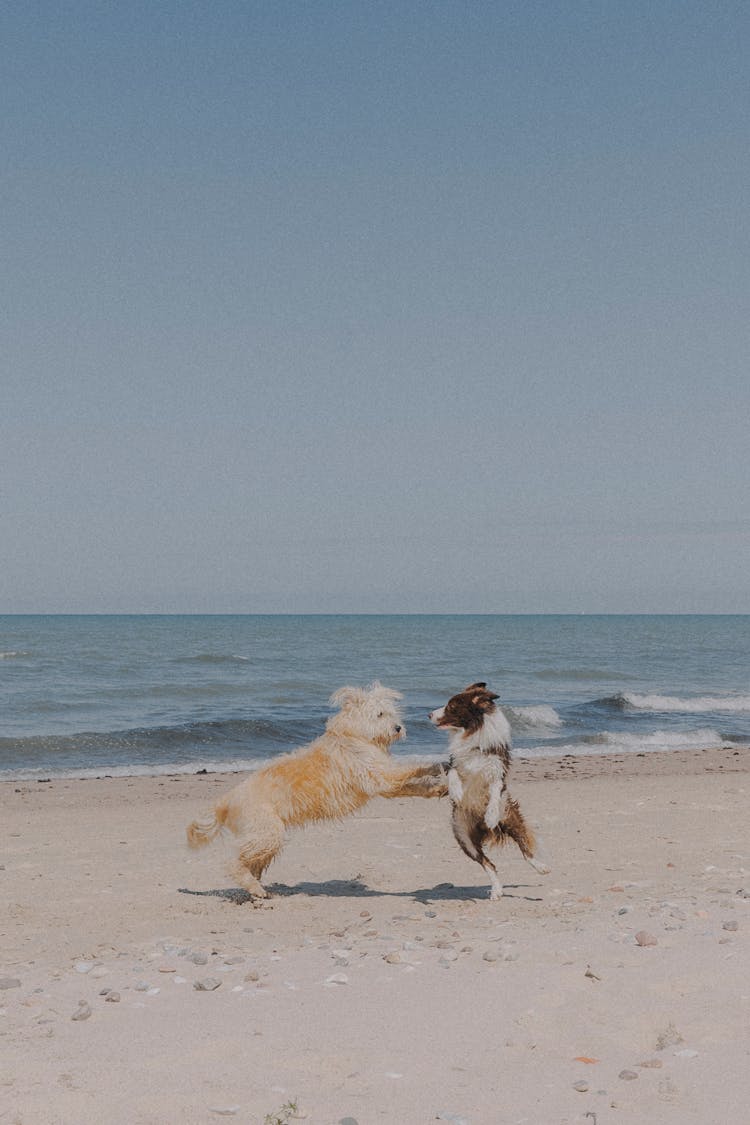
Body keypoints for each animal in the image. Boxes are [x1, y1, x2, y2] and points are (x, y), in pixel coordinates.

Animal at [187, 679, 445, 900]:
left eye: (393, 713)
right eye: (380, 714)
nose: (398, 728)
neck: (355, 736)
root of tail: (226, 799)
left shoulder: (386, 785)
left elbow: (415, 787)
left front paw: (439, 787)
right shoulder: (381, 777)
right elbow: (409, 770)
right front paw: (433, 766)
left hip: (264, 837)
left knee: (250, 863)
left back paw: (257, 888)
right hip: (267, 834)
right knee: (233, 864)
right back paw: (255, 888)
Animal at [431, 679, 548, 900]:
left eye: (451, 706)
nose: (429, 714)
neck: (472, 733)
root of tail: (482, 829)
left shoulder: (497, 772)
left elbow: (494, 792)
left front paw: (491, 815)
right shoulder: (454, 762)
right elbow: (452, 775)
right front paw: (457, 792)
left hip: (511, 819)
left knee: (525, 849)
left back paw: (541, 867)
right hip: (463, 836)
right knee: (488, 863)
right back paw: (497, 890)